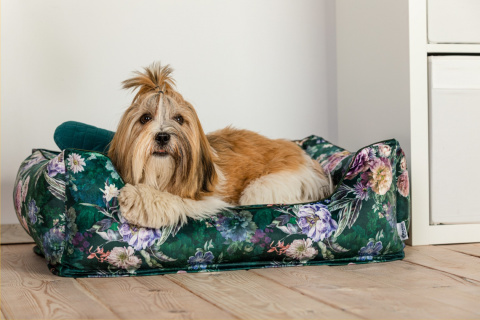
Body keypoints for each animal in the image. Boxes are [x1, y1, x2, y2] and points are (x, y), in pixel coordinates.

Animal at [109, 62, 332, 228]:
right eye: (145, 118)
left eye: (179, 119)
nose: (163, 136)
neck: (160, 176)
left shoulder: (207, 200)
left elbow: (175, 199)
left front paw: (138, 198)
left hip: (261, 189)